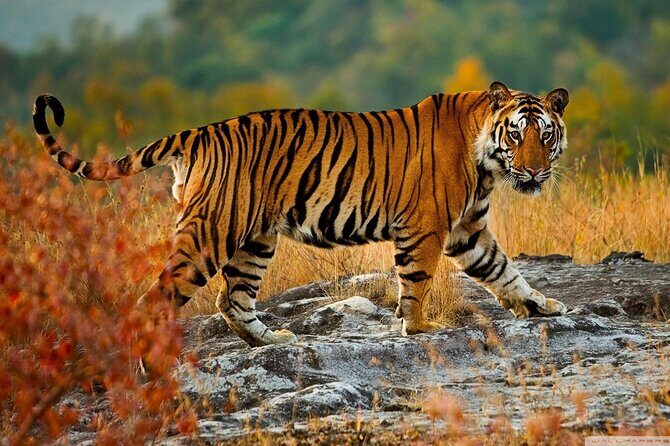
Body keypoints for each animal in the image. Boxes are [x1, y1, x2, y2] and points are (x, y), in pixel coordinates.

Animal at [33, 81, 569, 347]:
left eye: (546, 135)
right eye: (516, 134)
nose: (534, 172)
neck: (487, 163)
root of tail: (199, 132)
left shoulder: (467, 230)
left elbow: (504, 270)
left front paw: (541, 306)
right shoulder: (426, 228)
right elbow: (416, 283)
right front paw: (418, 330)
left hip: (254, 239)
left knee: (233, 299)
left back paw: (272, 341)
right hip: (210, 233)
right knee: (157, 299)